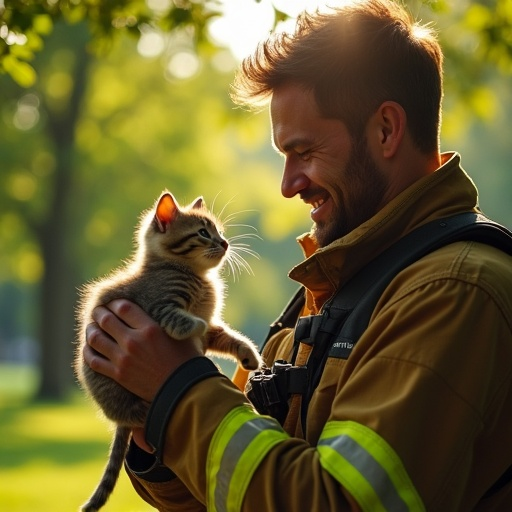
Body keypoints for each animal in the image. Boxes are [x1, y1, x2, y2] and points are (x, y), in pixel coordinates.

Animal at [76, 191, 262, 512]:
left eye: (219, 231)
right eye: (203, 233)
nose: (225, 243)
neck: (192, 274)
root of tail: (120, 417)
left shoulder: (214, 328)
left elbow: (226, 336)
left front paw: (248, 353)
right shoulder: (162, 307)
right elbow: (190, 324)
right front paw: (196, 334)